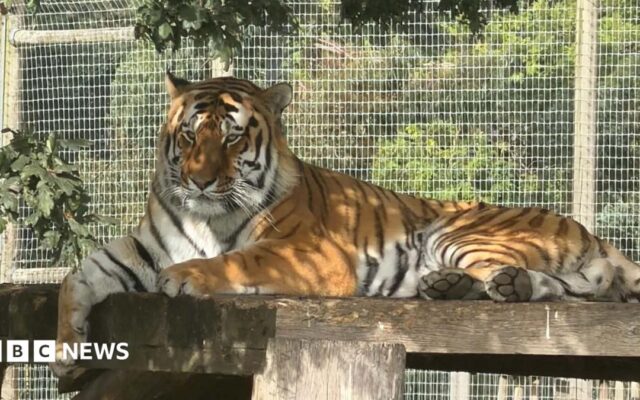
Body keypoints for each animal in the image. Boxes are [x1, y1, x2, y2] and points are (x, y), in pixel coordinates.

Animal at [53, 73, 640, 375]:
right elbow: (75, 278)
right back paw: (459, 286)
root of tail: (588, 230)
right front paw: (65, 355)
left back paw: (480, 285)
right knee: (568, 287)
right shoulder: (139, 248)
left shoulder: (312, 253)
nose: (198, 181)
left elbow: (237, 259)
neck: (203, 214)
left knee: (550, 285)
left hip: (457, 231)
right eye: (191, 134)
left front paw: (187, 275)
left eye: (234, 137)